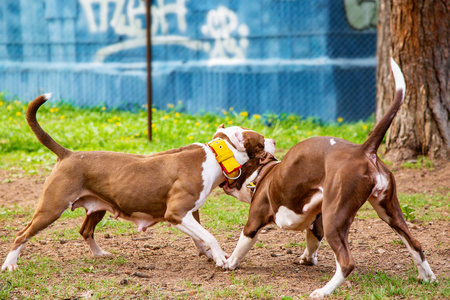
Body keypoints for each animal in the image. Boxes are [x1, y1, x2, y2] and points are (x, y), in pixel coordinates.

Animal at [0, 96, 274, 272]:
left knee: (85, 231)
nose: (273, 140)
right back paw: (10, 265)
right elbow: (210, 237)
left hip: (96, 207)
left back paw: (100, 254)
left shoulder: (190, 214)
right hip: (51, 207)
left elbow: (201, 237)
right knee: (21, 234)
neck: (216, 156)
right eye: (261, 140)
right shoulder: (177, 213)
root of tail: (68, 154)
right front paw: (220, 259)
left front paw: (211, 255)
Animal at [222, 59, 436, 298]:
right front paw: (307, 259)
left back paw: (323, 291)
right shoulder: (317, 224)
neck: (264, 171)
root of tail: (363, 150)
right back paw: (428, 277)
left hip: (336, 216)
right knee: (415, 243)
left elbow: (241, 244)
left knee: (346, 262)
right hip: (388, 210)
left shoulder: (254, 222)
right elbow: (312, 241)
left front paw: (228, 263)